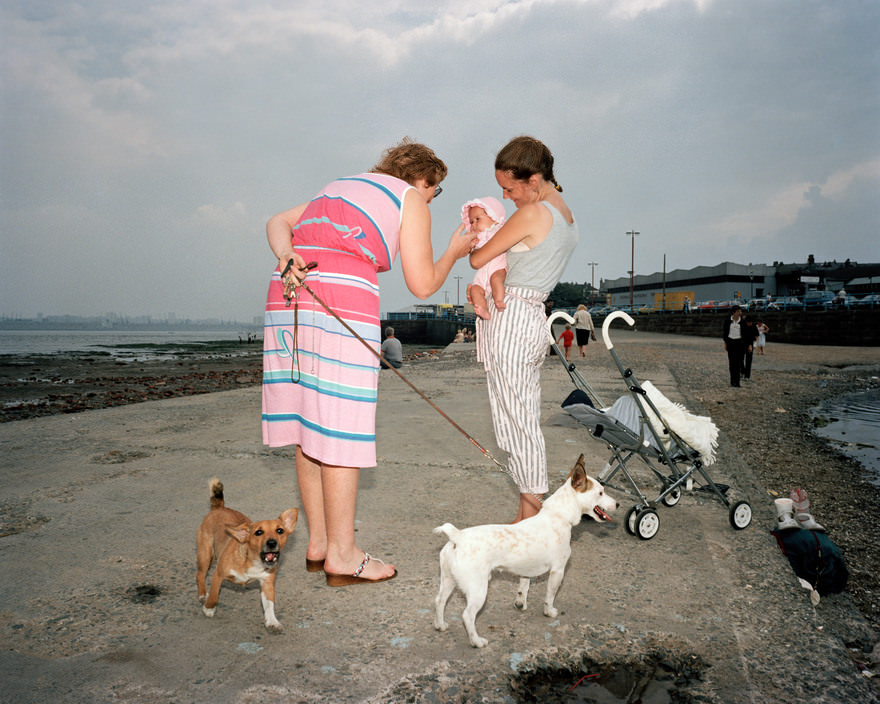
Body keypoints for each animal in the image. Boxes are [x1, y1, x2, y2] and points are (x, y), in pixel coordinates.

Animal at [196, 478, 300, 632]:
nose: (272, 542)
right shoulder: (218, 575)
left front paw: (272, 621)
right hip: (205, 555)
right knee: (200, 575)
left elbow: (269, 605)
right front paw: (209, 608)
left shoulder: (267, 584)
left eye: (280, 531)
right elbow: (214, 595)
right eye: (258, 532)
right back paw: (203, 594)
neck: (252, 562)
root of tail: (218, 508)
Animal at [434, 454, 620, 648]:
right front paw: (549, 612)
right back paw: (476, 641)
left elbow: (523, 588)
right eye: (600, 493)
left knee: (439, 601)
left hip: (448, 580)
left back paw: (440, 625)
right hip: (478, 589)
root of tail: (458, 536)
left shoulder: (526, 571)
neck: (559, 516)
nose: (618, 504)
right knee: (467, 615)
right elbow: (550, 595)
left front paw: (520, 604)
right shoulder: (558, 571)